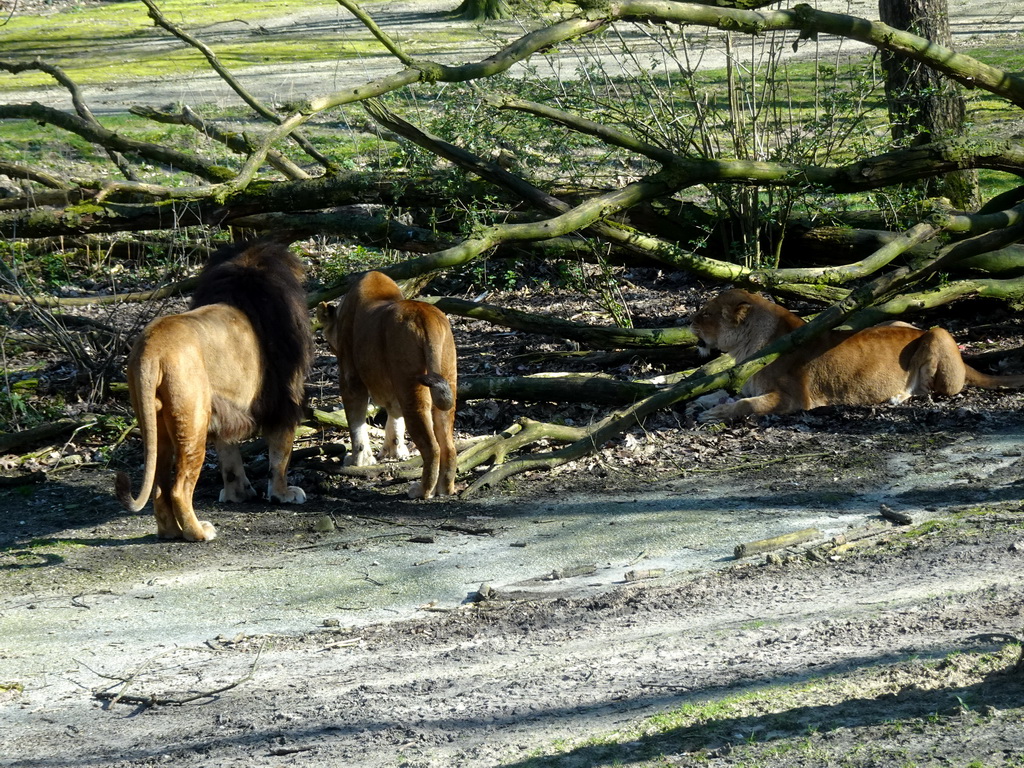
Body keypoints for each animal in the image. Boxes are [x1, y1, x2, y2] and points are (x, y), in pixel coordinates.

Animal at [115, 240, 311, 540]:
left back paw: (170, 532)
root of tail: (151, 347)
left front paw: (237, 494)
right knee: (179, 488)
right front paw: (282, 494)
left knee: (160, 486)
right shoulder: (285, 398)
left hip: (156, 422)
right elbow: (280, 455)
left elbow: (229, 458)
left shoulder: (226, 408)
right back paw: (199, 533)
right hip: (193, 419)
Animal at [317, 270, 458, 499]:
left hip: (412, 387)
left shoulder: (350, 379)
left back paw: (422, 490)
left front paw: (359, 460)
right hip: (446, 379)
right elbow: (394, 418)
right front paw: (394, 451)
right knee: (448, 445)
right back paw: (444, 489)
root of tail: (425, 317)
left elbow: (356, 424)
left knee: (432, 447)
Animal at [688, 288, 1024, 423]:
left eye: (705, 313)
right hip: (897, 322)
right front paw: (699, 403)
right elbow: (724, 393)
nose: (688, 322)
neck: (744, 350)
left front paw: (715, 414)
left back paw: (897, 397)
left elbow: (746, 404)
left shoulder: (795, 399)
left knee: (931, 391)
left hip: (938, 333)